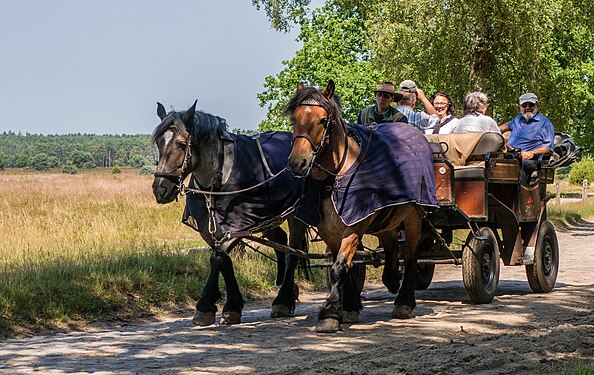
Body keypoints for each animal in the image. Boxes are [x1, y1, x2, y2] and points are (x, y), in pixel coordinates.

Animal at [150, 100, 308, 326]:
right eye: (159, 143)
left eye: (181, 144)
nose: (160, 189)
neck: (219, 177)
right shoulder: (208, 227)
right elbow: (223, 259)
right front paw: (228, 304)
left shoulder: (240, 224)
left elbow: (218, 257)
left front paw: (207, 305)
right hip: (269, 216)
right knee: (281, 240)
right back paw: (284, 287)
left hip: (294, 214)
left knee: (294, 250)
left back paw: (283, 300)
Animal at [284, 81, 438, 334]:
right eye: (294, 119)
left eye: (323, 120)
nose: (298, 163)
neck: (337, 173)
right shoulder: (329, 230)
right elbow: (344, 265)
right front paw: (349, 305)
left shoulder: (355, 225)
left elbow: (339, 267)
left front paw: (330, 314)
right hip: (387, 214)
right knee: (390, 243)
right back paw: (391, 278)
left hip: (413, 216)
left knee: (411, 254)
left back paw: (404, 301)